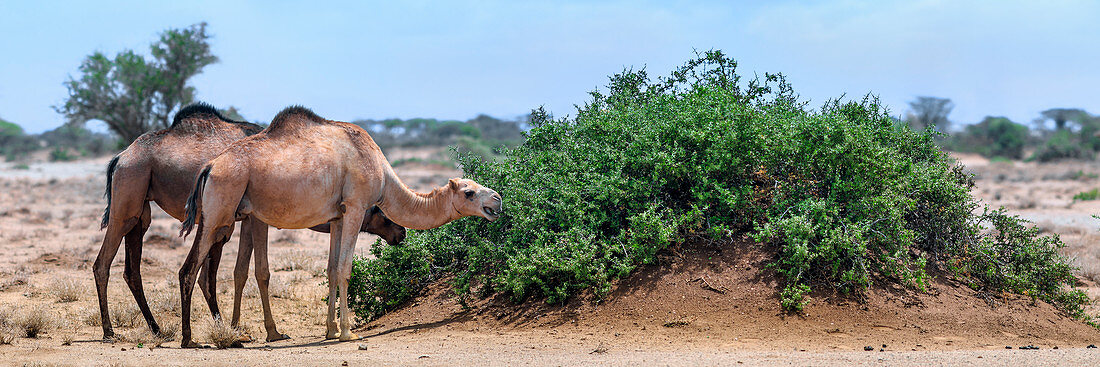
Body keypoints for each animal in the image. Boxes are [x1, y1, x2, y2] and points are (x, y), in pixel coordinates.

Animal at [97, 101, 409, 342]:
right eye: (380, 211)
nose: (401, 232)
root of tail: (120, 156)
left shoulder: (246, 218)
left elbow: (239, 272)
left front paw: (238, 327)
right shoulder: (254, 218)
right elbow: (254, 272)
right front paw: (267, 331)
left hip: (143, 208)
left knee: (134, 269)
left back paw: (158, 329)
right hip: (131, 192)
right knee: (104, 263)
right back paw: (111, 331)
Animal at [179, 106, 503, 347]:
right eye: (469, 192)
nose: (498, 199)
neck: (383, 174)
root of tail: (209, 167)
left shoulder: (337, 216)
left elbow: (332, 268)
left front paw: (331, 330)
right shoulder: (357, 206)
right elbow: (346, 267)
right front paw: (348, 332)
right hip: (220, 206)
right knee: (189, 268)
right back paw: (190, 339)